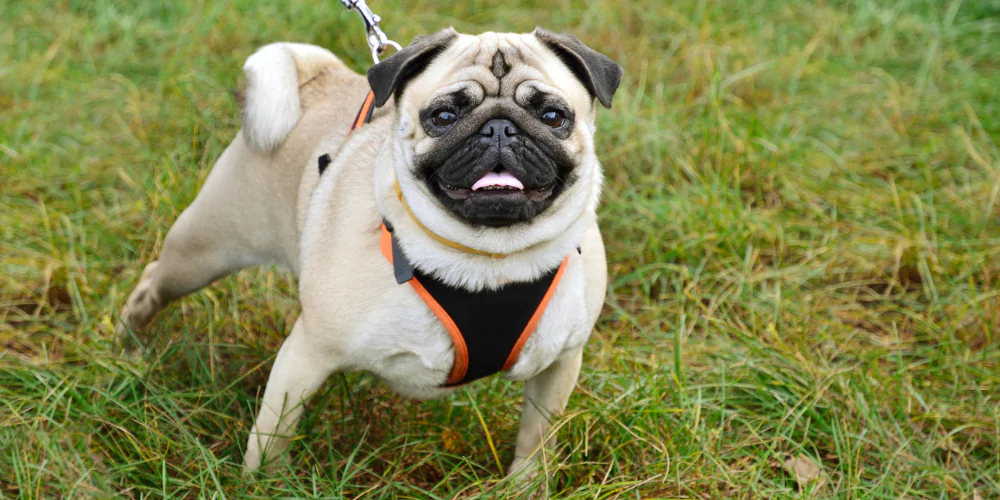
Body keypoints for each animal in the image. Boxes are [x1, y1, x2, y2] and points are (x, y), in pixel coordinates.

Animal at [117, 28, 616, 480]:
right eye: (444, 115)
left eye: (552, 115)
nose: (499, 128)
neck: (487, 261)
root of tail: (319, 76)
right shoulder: (306, 356)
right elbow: (272, 436)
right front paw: (263, 485)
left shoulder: (560, 363)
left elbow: (537, 440)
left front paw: (525, 485)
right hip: (203, 251)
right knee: (152, 283)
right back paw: (128, 348)